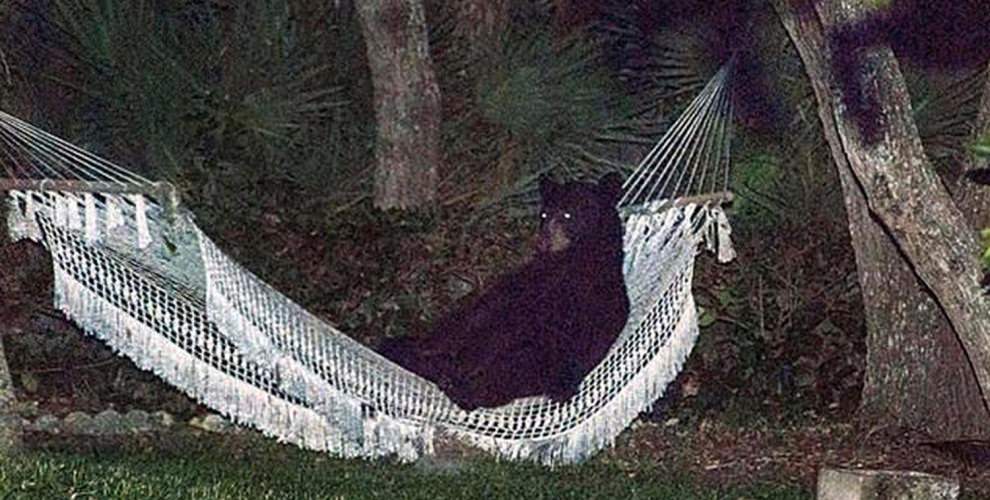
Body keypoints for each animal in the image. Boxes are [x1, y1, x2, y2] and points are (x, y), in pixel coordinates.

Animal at [377, 173, 630, 411]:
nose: (543, 242)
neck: (574, 258)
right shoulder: (525, 284)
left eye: (568, 214)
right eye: (544, 215)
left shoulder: (576, 298)